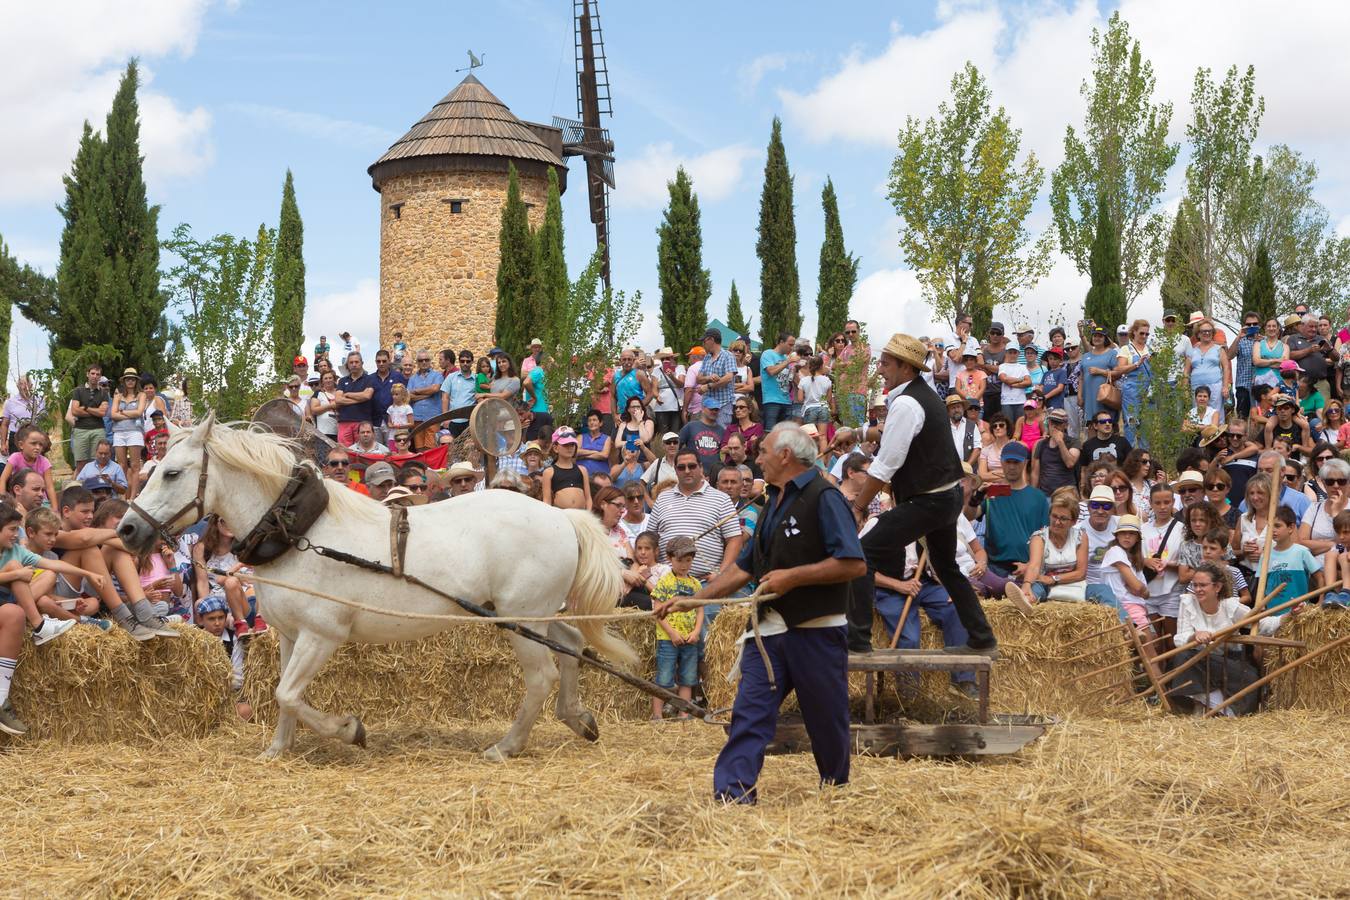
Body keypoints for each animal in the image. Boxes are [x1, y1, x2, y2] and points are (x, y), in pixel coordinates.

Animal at [113, 415, 634, 761]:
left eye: (172, 472)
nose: (126, 531)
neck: (301, 535)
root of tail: (562, 517)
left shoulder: (322, 635)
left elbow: (287, 694)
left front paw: (349, 730)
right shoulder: (289, 636)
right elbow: (283, 694)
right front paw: (278, 749)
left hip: (521, 617)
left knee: (542, 675)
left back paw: (506, 746)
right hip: (533, 615)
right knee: (571, 646)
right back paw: (579, 718)